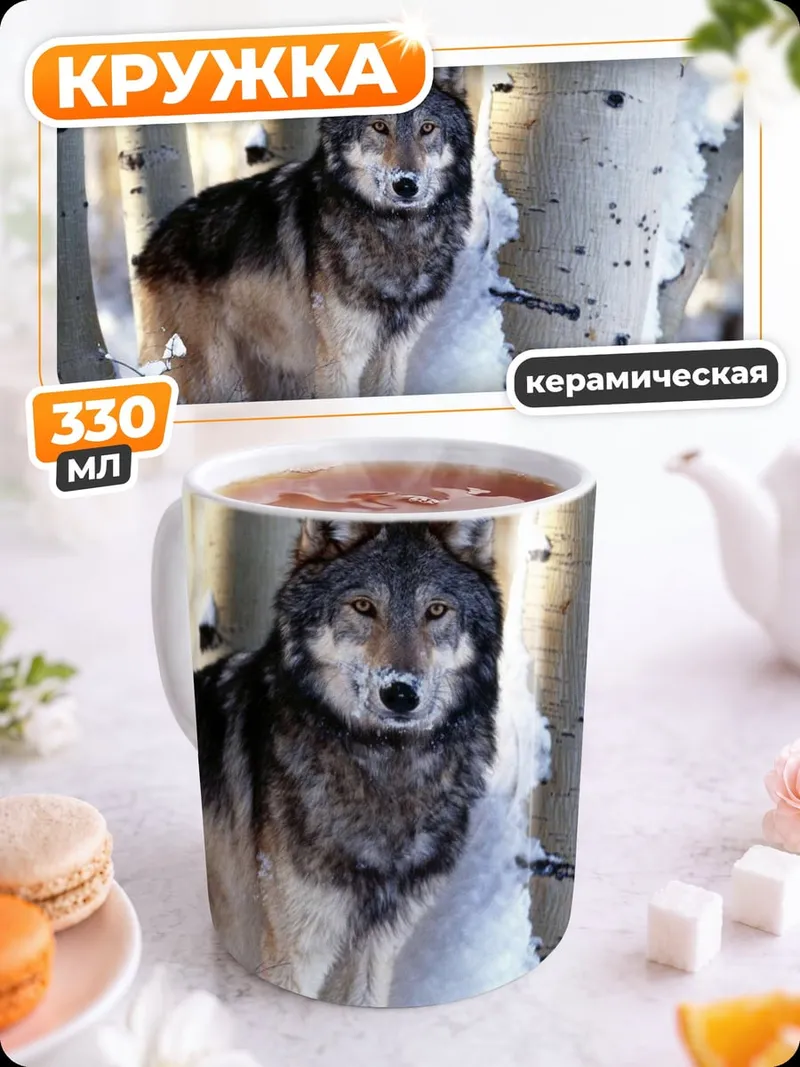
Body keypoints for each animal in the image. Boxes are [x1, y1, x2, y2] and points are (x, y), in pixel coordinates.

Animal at [134, 70, 474, 404]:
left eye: (427, 128)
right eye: (380, 126)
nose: (406, 184)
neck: (396, 232)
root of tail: (150, 246)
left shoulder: (392, 354)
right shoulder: (338, 359)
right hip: (214, 378)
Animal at [194, 518, 503, 1007]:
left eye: (436, 610)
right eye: (363, 606)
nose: (401, 692)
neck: (388, 769)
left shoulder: (376, 947)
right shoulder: (295, 950)